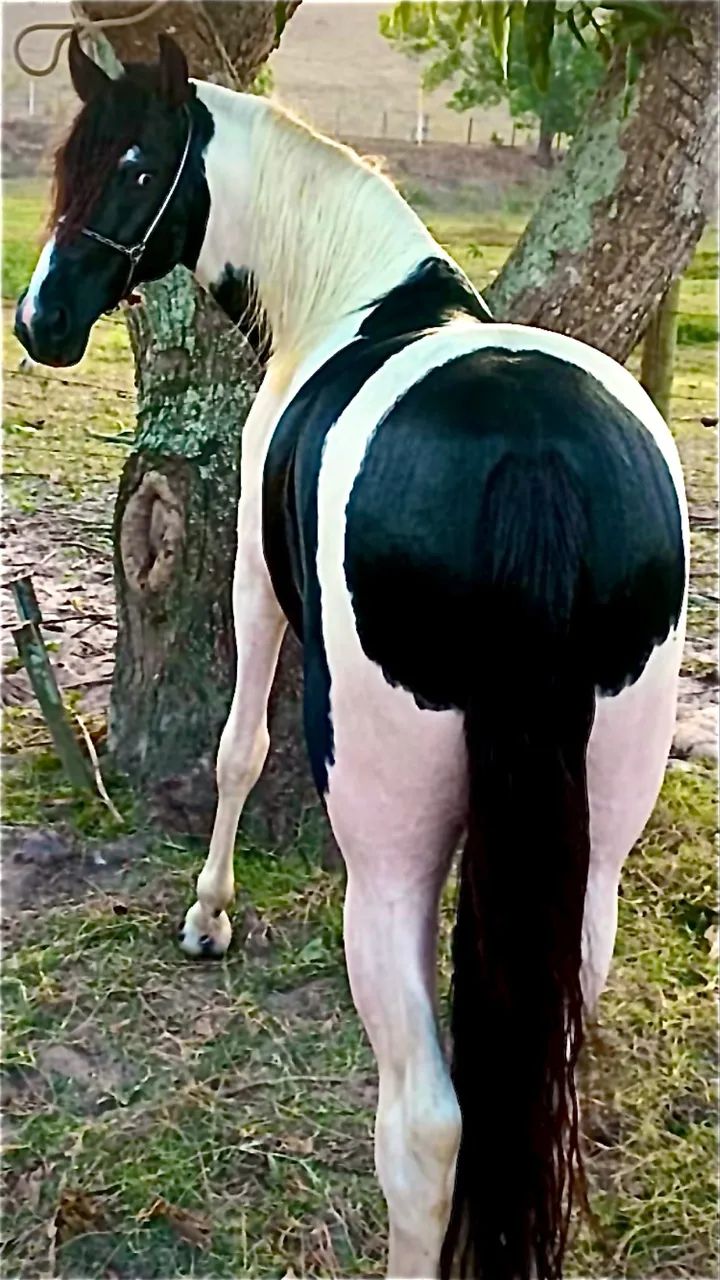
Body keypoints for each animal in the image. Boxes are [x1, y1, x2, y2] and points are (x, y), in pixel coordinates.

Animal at [15, 33, 688, 1280]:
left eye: (134, 166)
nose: (42, 322)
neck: (356, 298)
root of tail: (532, 460)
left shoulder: (251, 579)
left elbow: (238, 748)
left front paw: (210, 914)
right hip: (600, 845)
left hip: (385, 852)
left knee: (427, 1129)